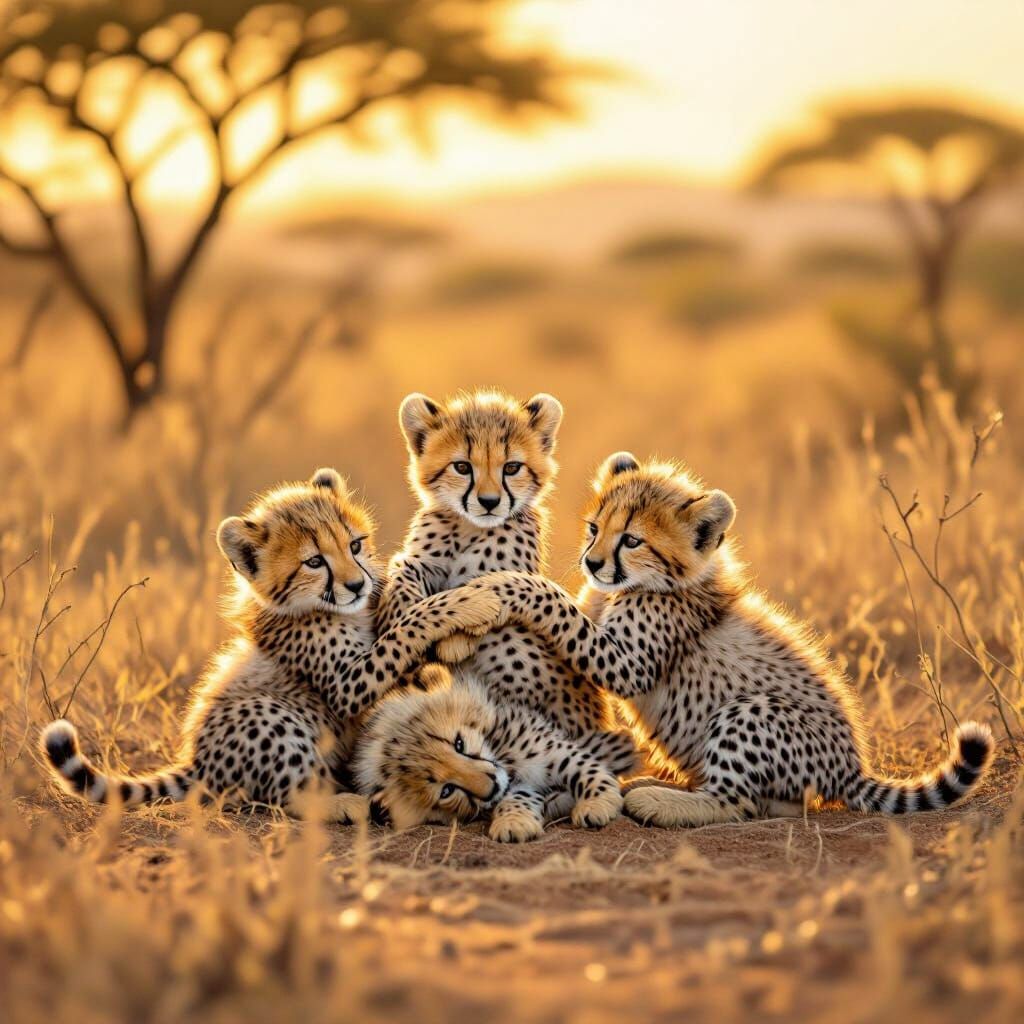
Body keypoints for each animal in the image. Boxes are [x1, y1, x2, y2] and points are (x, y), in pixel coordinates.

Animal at [41, 468, 499, 820]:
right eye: (314, 562)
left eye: (354, 545)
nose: (356, 584)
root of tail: (197, 762)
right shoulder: (347, 683)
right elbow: (407, 628)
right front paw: (471, 602)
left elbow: (402, 628)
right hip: (273, 714)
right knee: (288, 796)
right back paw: (346, 803)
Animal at [458, 452, 994, 827]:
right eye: (594, 528)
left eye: (631, 539)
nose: (592, 562)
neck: (656, 583)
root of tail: (851, 765)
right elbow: (570, 609)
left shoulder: (627, 662)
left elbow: (553, 601)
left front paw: (501, 586)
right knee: (772, 803)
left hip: (751, 711)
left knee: (736, 802)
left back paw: (656, 799)